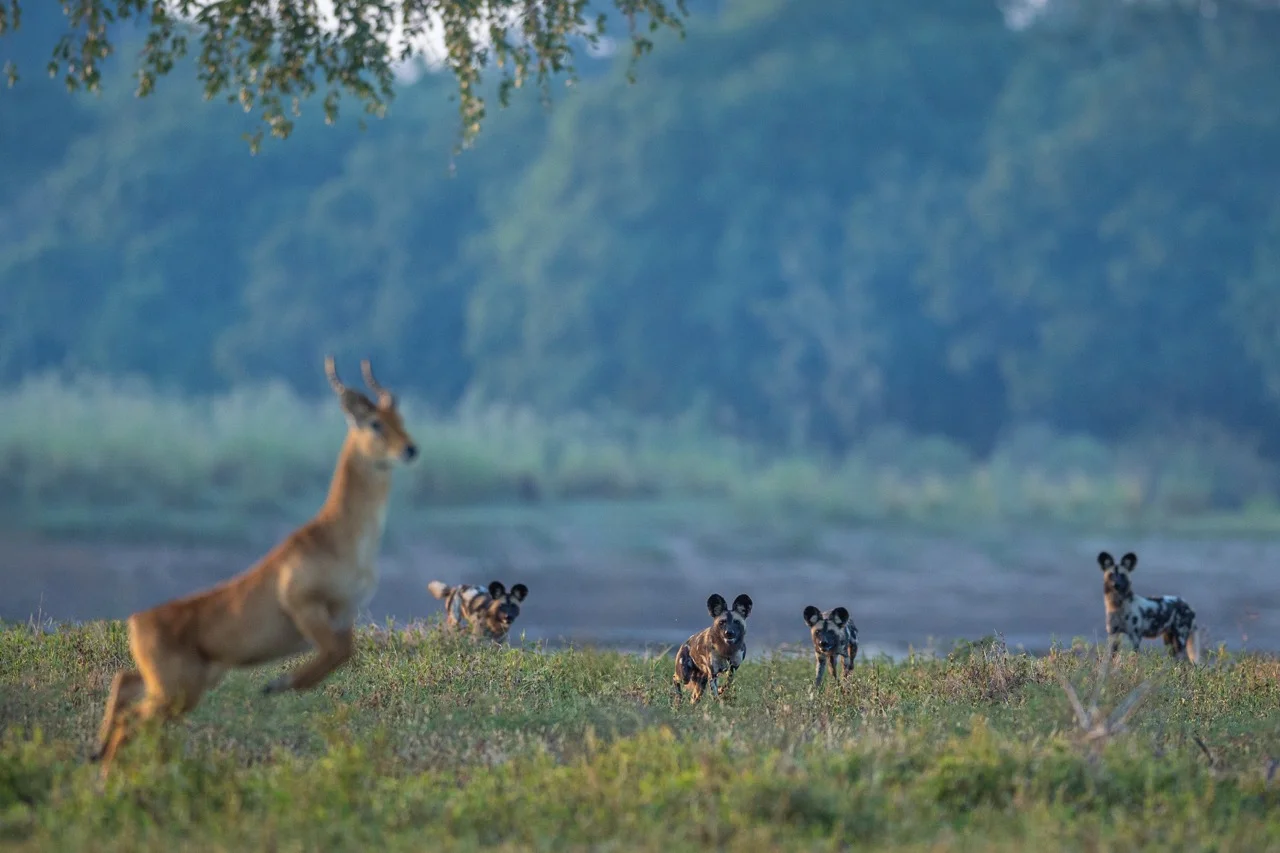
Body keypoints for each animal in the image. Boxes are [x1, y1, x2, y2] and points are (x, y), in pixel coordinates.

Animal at [91, 356, 419, 773]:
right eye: (374, 422)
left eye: (400, 417)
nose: (410, 449)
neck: (337, 537)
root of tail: (137, 621)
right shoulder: (304, 606)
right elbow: (335, 653)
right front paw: (277, 684)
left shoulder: (344, 617)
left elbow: (344, 652)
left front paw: (279, 684)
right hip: (176, 691)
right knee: (130, 722)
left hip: (182, 683)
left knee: (124, 684)